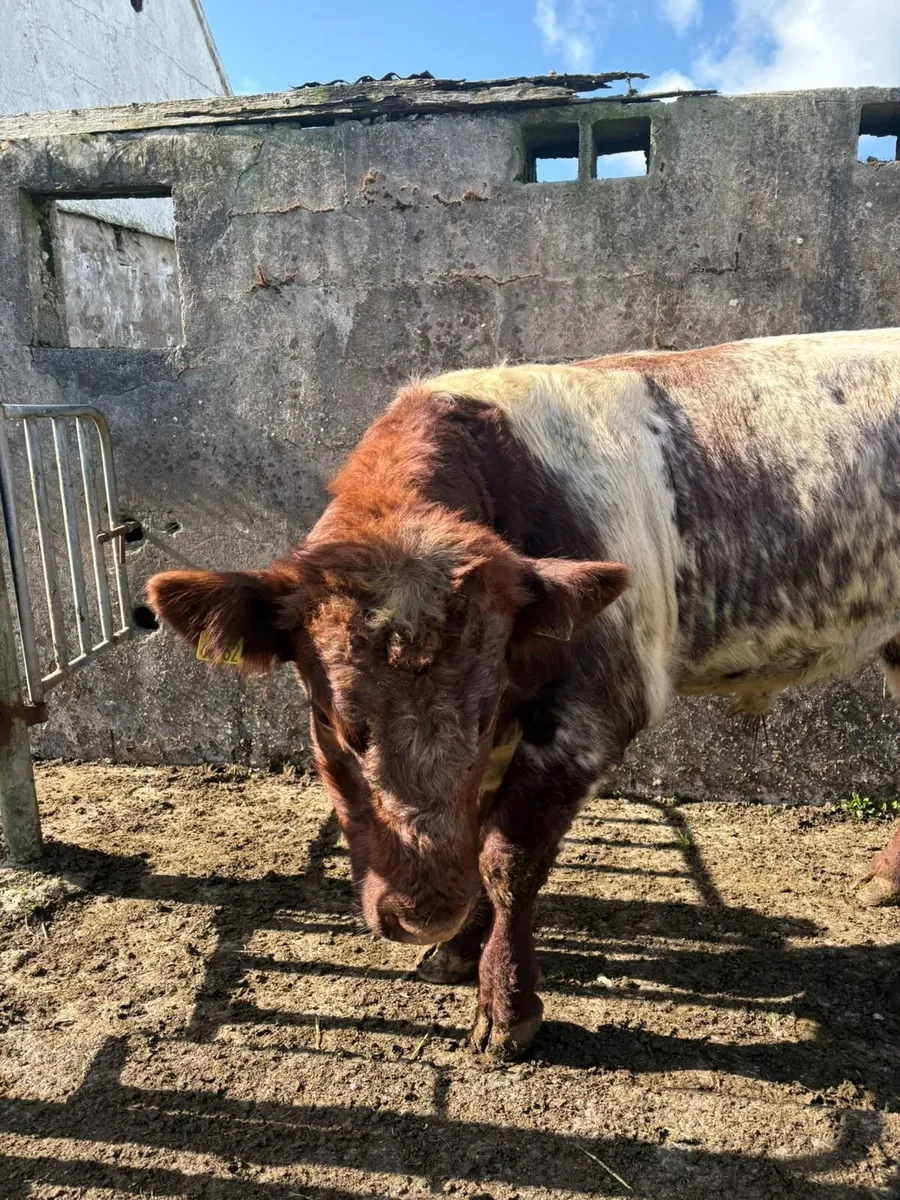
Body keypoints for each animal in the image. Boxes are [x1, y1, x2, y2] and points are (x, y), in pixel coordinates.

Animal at [147, 327, 900, 1061]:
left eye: (480, 718)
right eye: (333, 721)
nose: (423, 912)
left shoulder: (591, 715)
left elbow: (507, 861)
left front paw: (506, 1007)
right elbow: (475, 830)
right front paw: (455, 949)